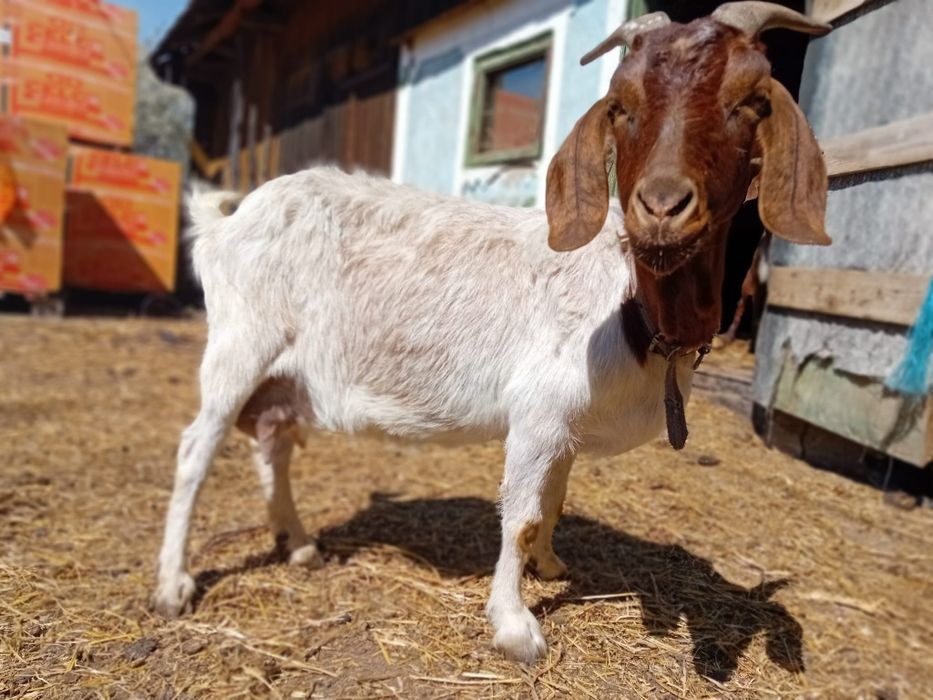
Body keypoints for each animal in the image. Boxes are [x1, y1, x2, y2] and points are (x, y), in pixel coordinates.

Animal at [153, 2, 831, 664]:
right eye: (621, 105)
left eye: (751, 99)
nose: (662, 207)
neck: (632, 305)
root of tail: (226, 222)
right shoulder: (537, 411)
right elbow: (523, 515)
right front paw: (515, 626)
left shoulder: (563, 426)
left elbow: (555, 499)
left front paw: (551, 565)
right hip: (241, 345)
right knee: (194, 449)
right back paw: (172, 585)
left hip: (283, 376)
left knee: (272, 444)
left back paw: (297, 544)